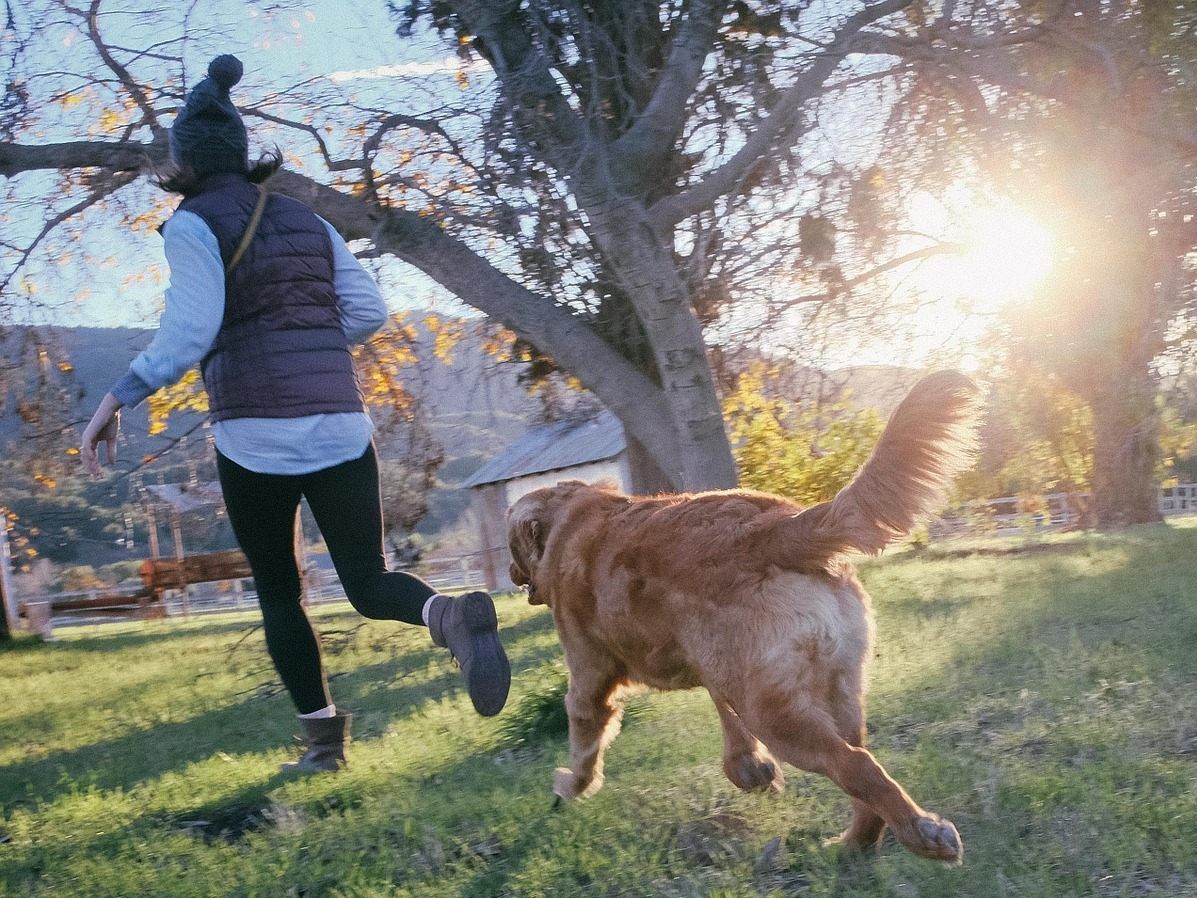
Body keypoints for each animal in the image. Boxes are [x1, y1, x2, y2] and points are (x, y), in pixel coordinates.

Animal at [505, 371, 981, 866]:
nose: (509, 574)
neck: (571, 519)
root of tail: (774, 528)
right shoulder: (714, 667)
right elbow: (725, 714)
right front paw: (750, 768)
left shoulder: (590, 676)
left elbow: (583, 737)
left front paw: (571, 786)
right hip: (832, 689)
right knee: (860, 768)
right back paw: (855, 843)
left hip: (777, 714)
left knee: (856, 765)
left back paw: (923, 834)